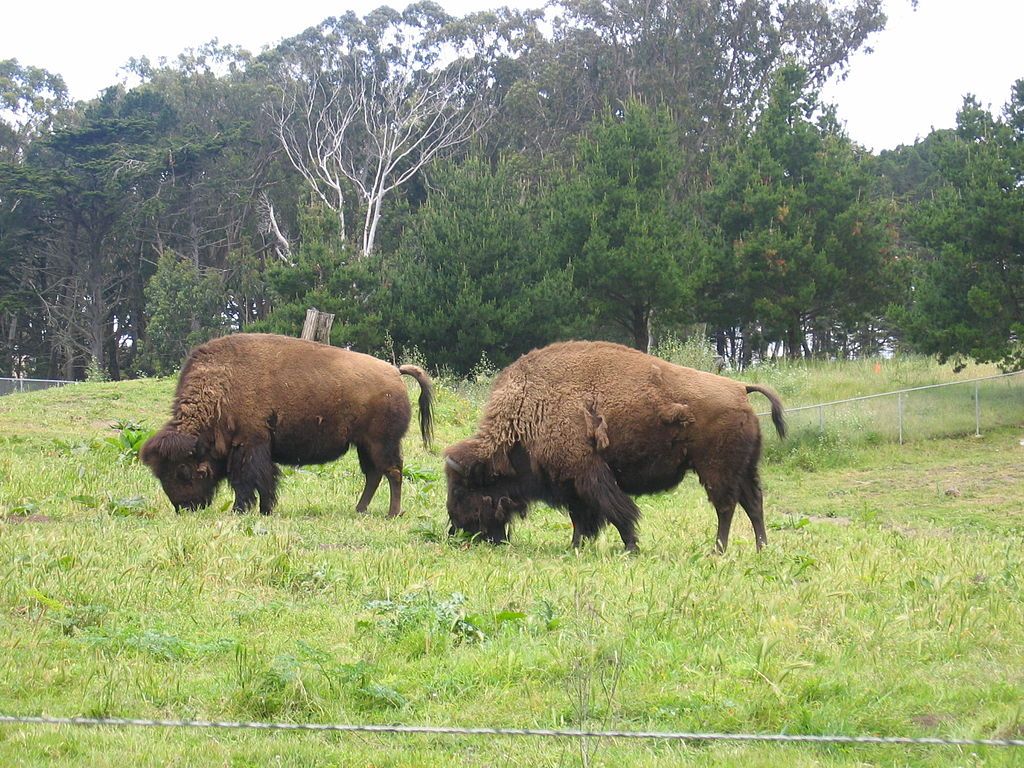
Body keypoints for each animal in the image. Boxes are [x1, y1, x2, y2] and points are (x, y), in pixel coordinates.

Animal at [141, 333, 433, 517]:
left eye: (183, 471)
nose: (184, 507)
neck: (220, 388)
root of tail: (394, 371)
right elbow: (266, 480)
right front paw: (265, 509)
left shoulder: (249, 445)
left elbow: (246, 481)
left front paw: (241, 511)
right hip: (364, 445)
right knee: (374, 474)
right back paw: (360, 509)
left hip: (382, 443)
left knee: (392, 472)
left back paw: (392, 513)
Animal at [444, 340, 785, 552]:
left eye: (462, 490)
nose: (456, 528)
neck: (529, 411)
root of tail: (740, 388)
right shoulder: (571, 484)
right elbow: (581, 518)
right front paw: (576, 546)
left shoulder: (588, 475)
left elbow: (615, 510)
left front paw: (630, 546)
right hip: (745, 469)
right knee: (753, 504)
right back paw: (761, 548)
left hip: (716, 470)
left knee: (726, 507)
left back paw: (718, 550)